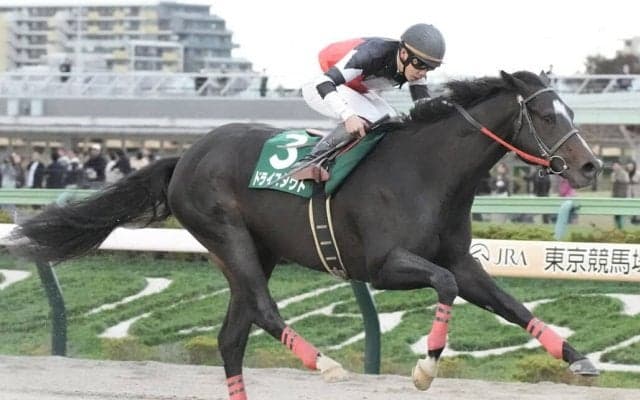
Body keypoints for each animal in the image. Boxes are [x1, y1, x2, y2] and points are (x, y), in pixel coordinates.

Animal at [7, 71, 602, 400]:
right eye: (546, 114)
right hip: (228, 236)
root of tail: (184, 157)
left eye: (571, 108)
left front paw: (578, 358)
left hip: (255, 251)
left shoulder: (462, 259)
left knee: (232, 336)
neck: (427, 172)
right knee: (263, 311)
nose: (591, 165)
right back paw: (327, 364)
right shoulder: (383, 266)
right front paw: (424, 368)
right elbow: (445, 287)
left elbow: (510, 303)